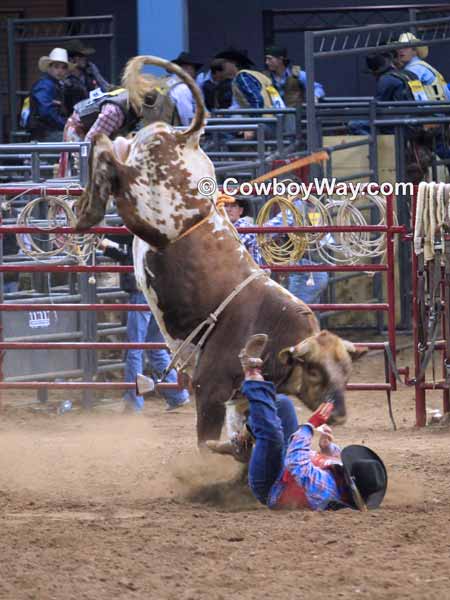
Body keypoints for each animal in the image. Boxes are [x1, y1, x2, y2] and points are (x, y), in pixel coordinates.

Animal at [76, 55, 366, 446]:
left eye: (347, 372)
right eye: (316, 372)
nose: (339, 414)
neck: (272, 328)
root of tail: (186, 136)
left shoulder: (238, 401)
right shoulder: (209, 390)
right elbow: (208, 441)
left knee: (115, 145)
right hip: (147, 209)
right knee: (109, 154)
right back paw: (87, 208)